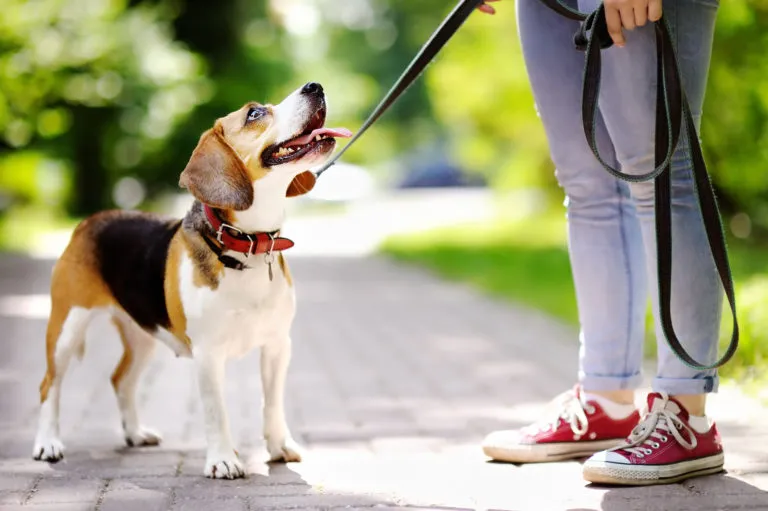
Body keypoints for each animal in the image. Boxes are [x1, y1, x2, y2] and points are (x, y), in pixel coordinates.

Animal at [31, 82, 352, 478]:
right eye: (255, 113)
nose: (315, 86)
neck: (247, 246)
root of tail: (90, 221)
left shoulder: (278, 345)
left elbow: (272, 402)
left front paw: (279, 446)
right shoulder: (208, 354)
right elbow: (217, 411)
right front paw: (224, 460)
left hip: (142, 335)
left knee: (121, 380)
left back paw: (135, 433)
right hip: (66, 327)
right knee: (49, 384)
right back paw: (47, 444)